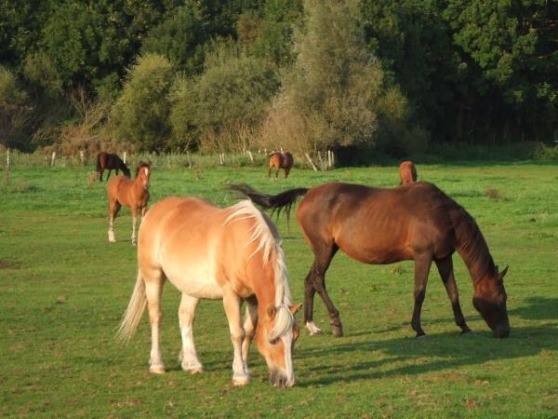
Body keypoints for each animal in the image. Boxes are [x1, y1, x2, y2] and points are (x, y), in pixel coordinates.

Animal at [116, 197, 304, 388]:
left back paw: (192, 363)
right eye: (273, 340)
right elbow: (238, 333)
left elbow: (249, 332)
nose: (287, 381)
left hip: (191, 288)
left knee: (185, 317)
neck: (246, 245)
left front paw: (244, 368)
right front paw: (239, 375)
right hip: (153, 276)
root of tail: (154, 210)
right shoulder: (231, 296)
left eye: (295, 337)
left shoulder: (252, 298)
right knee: (156, 316)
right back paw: (157, 364)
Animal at [229, 182, 512, 340]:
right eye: (501, 298)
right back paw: (335, 323)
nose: (505, 332)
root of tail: (309, 193)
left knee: (310, 281)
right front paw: (418, 329)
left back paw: (313, 325)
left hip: (327, 250)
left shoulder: (442, 257)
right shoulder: (424, 256)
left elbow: (452, 291)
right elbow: (419, 292)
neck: (442, 213)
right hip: (324, 250)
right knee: (317, 279)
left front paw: (463, 326)